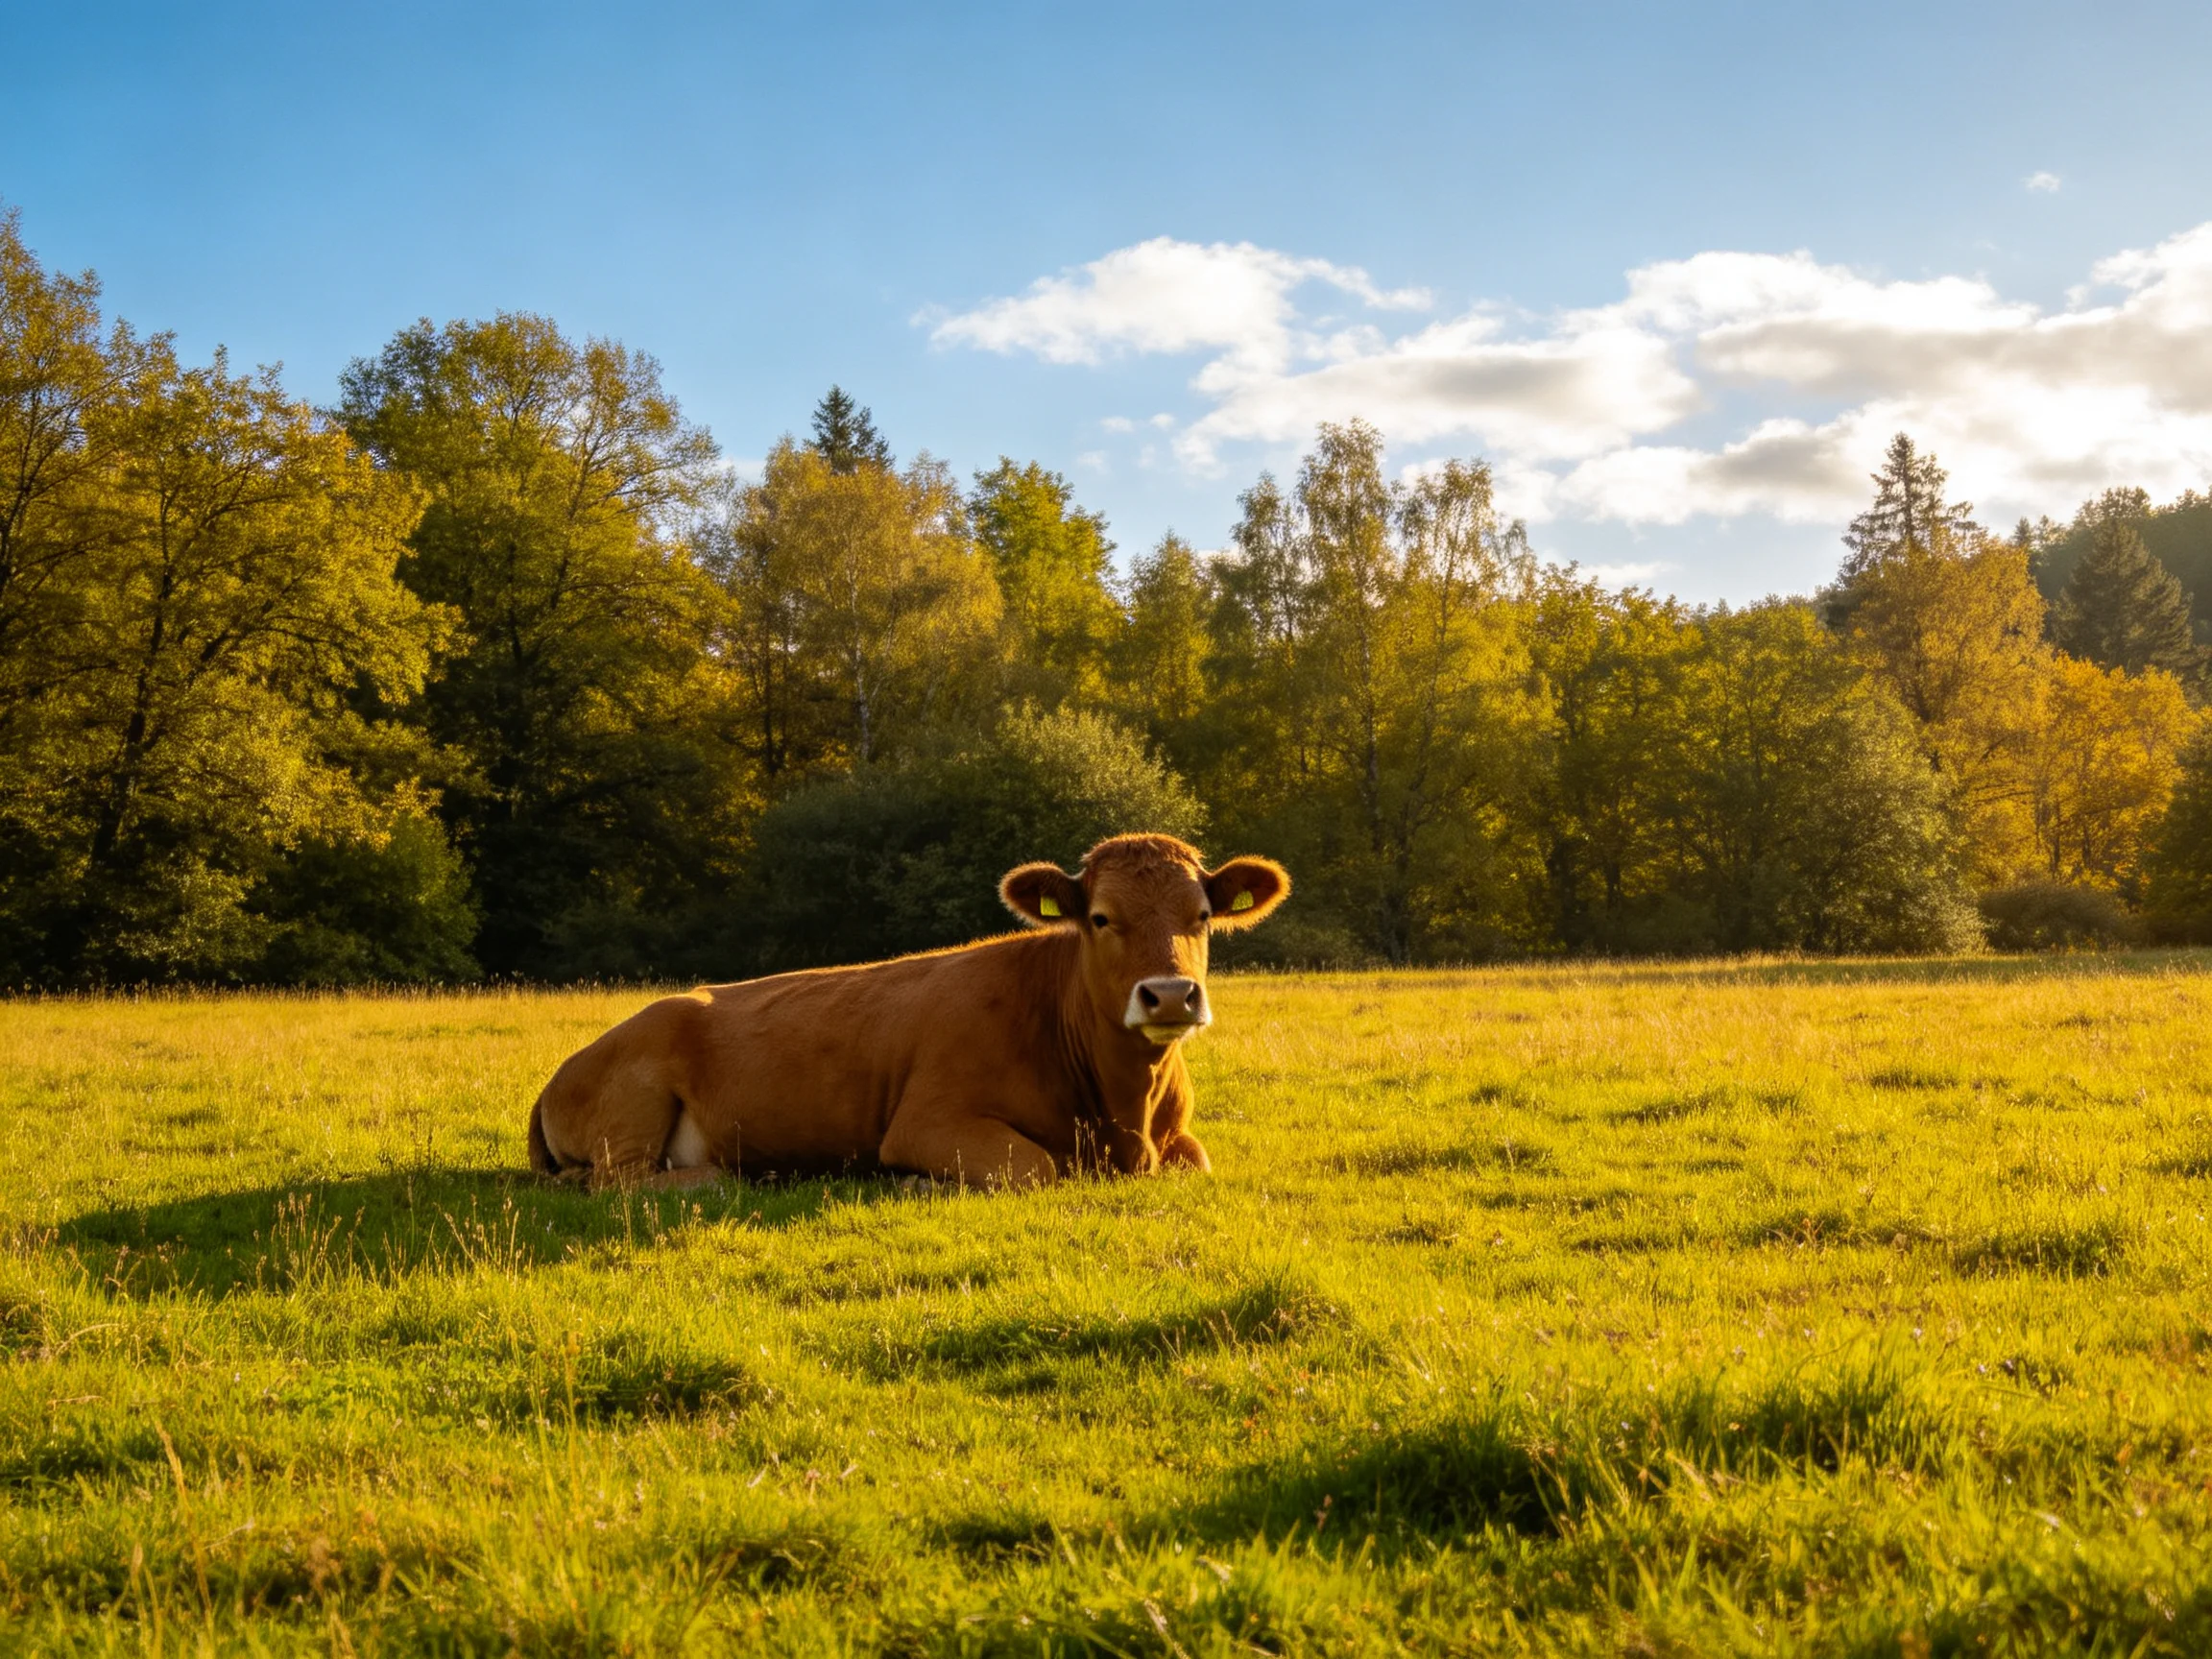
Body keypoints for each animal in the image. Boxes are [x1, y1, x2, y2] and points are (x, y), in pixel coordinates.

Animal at [527, 834, 1289, 1188]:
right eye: (1100, 918)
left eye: (1201, 916)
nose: (1170, 994)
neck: (1124, 1112)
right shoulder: (927, 1120)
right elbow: (1035, 1166)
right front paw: (920, 1183)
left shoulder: (1176, 1139)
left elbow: (1198, 1159)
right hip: (636, 1095)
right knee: (622, 1180)